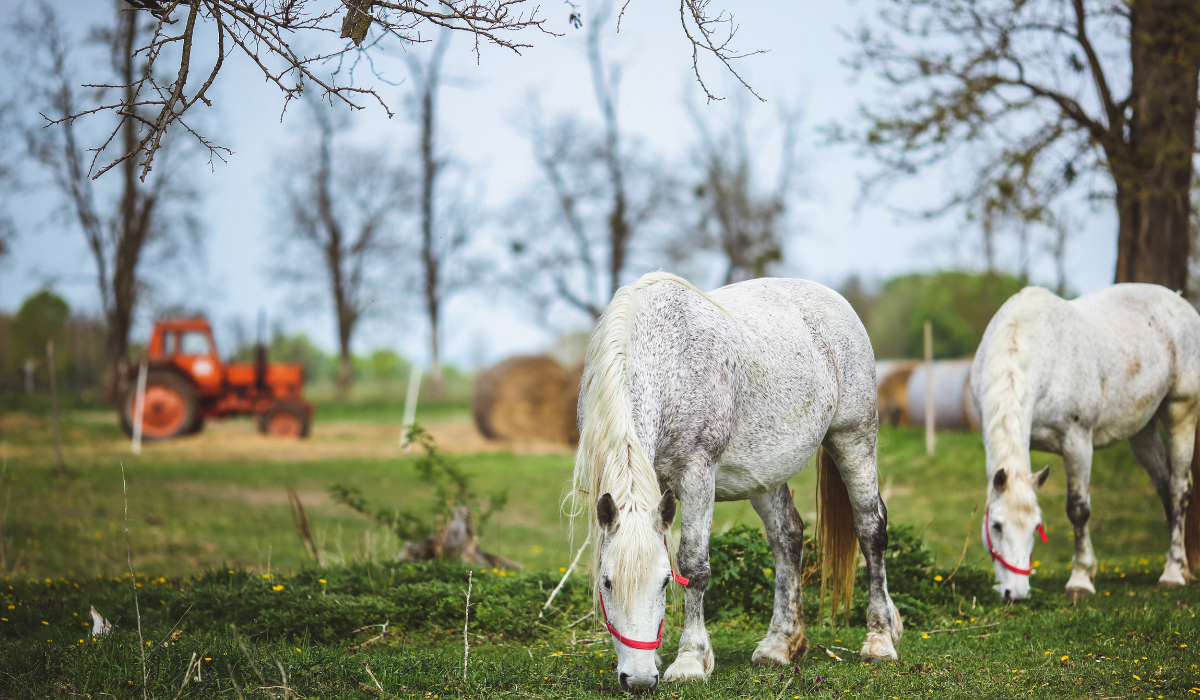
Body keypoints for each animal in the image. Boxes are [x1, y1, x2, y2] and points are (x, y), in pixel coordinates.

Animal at [568, 271, 902, 691]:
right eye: (607, 582)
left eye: (664, 583)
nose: (640, 679)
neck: (665, 356)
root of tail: (836, 303)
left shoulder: (697, 475)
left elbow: (694, 565)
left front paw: (690, 660)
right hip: (766, 472)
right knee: (787, 537)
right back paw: (780, 644)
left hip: (853, 439)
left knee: (871, 529)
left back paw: (880, 639)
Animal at [969, 284, 1200, 602]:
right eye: (996, 525)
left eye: (1036, 528)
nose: (1015, 593)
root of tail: (1180, 302)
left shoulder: (1076, 442)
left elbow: (1078, 510)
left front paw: (1080, 579)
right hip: (1142, 431)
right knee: (1165, 485)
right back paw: (1182, 568)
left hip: (1181, 413)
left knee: (1179, 488)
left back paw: (1173, 573)